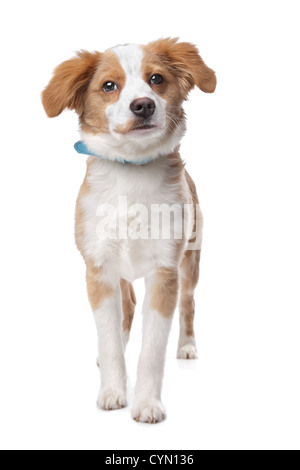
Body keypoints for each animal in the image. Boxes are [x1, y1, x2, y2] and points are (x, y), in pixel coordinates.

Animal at [42, 38, 216, 424]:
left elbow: (152, 349)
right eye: (109, 86)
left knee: (189, 302)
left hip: (191, 262)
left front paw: (147, 404)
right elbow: (108, 338)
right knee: (127, 307)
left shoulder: (165, 273)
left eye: (157, 79)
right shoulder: (98, 270)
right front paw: (112, 392)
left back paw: (187, 345)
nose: (143, 105)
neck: (132, 171)